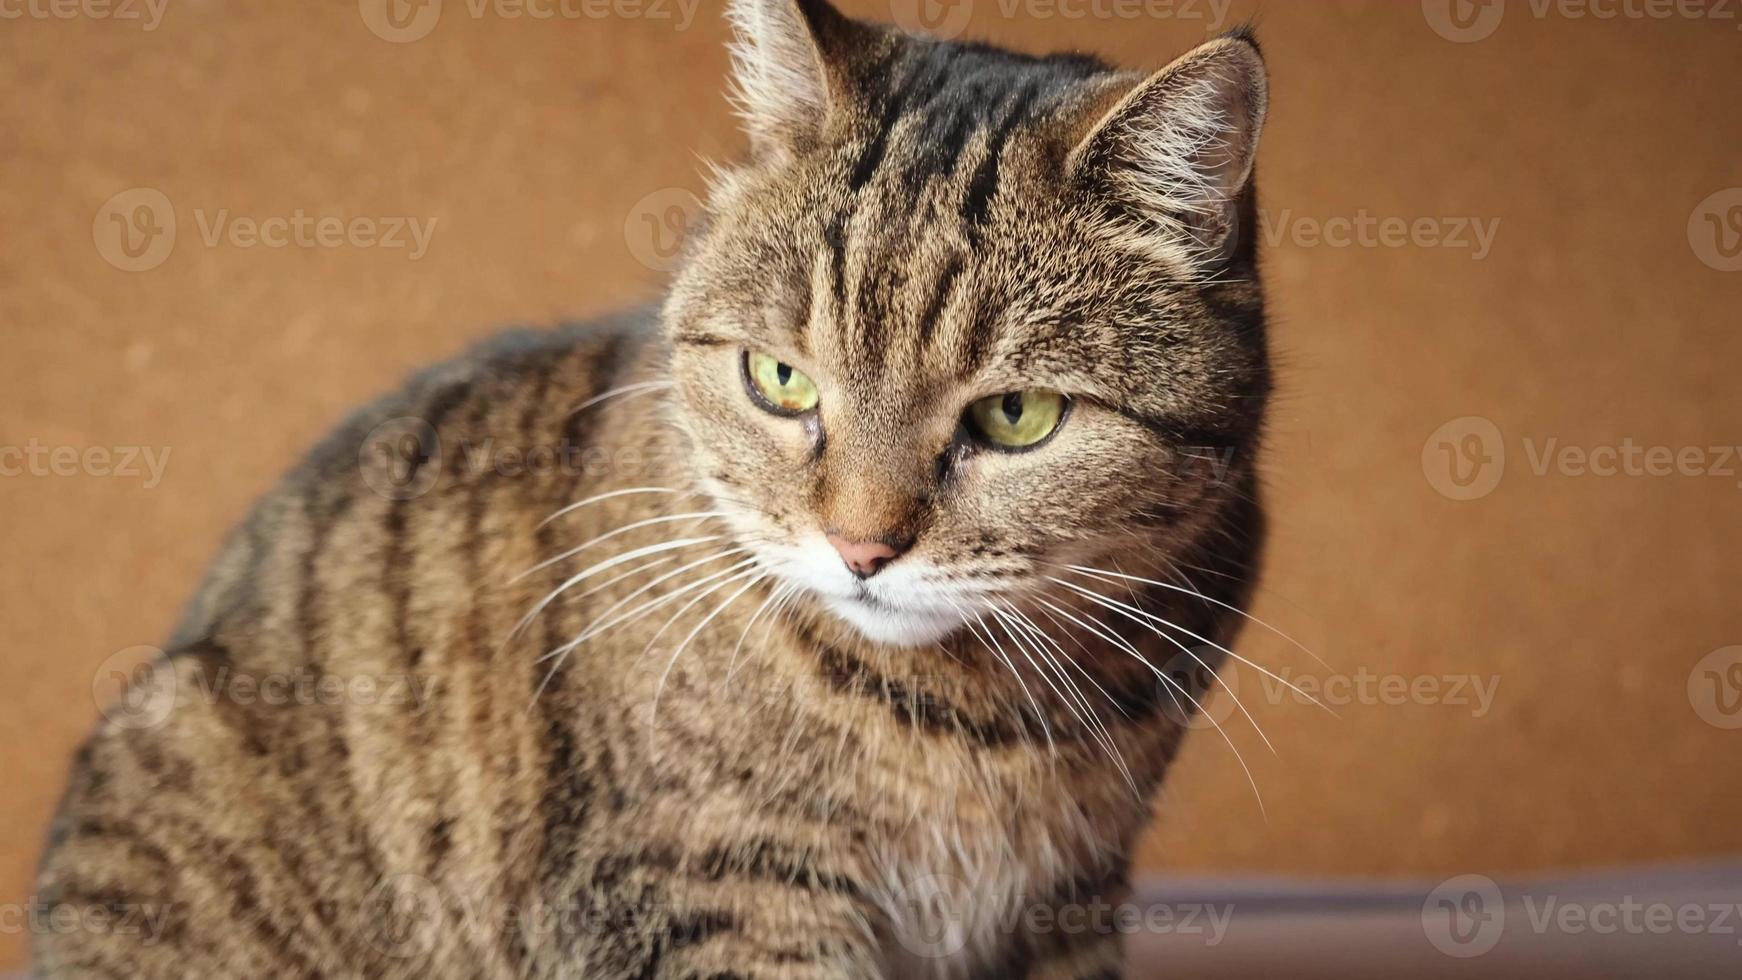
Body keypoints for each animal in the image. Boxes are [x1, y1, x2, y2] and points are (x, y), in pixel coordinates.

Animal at [33, 3, 1275, 974]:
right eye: (780, 378)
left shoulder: (1067, 901)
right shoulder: (705, 884)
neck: (975, 725)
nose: (859, 547)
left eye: (1015, 416)